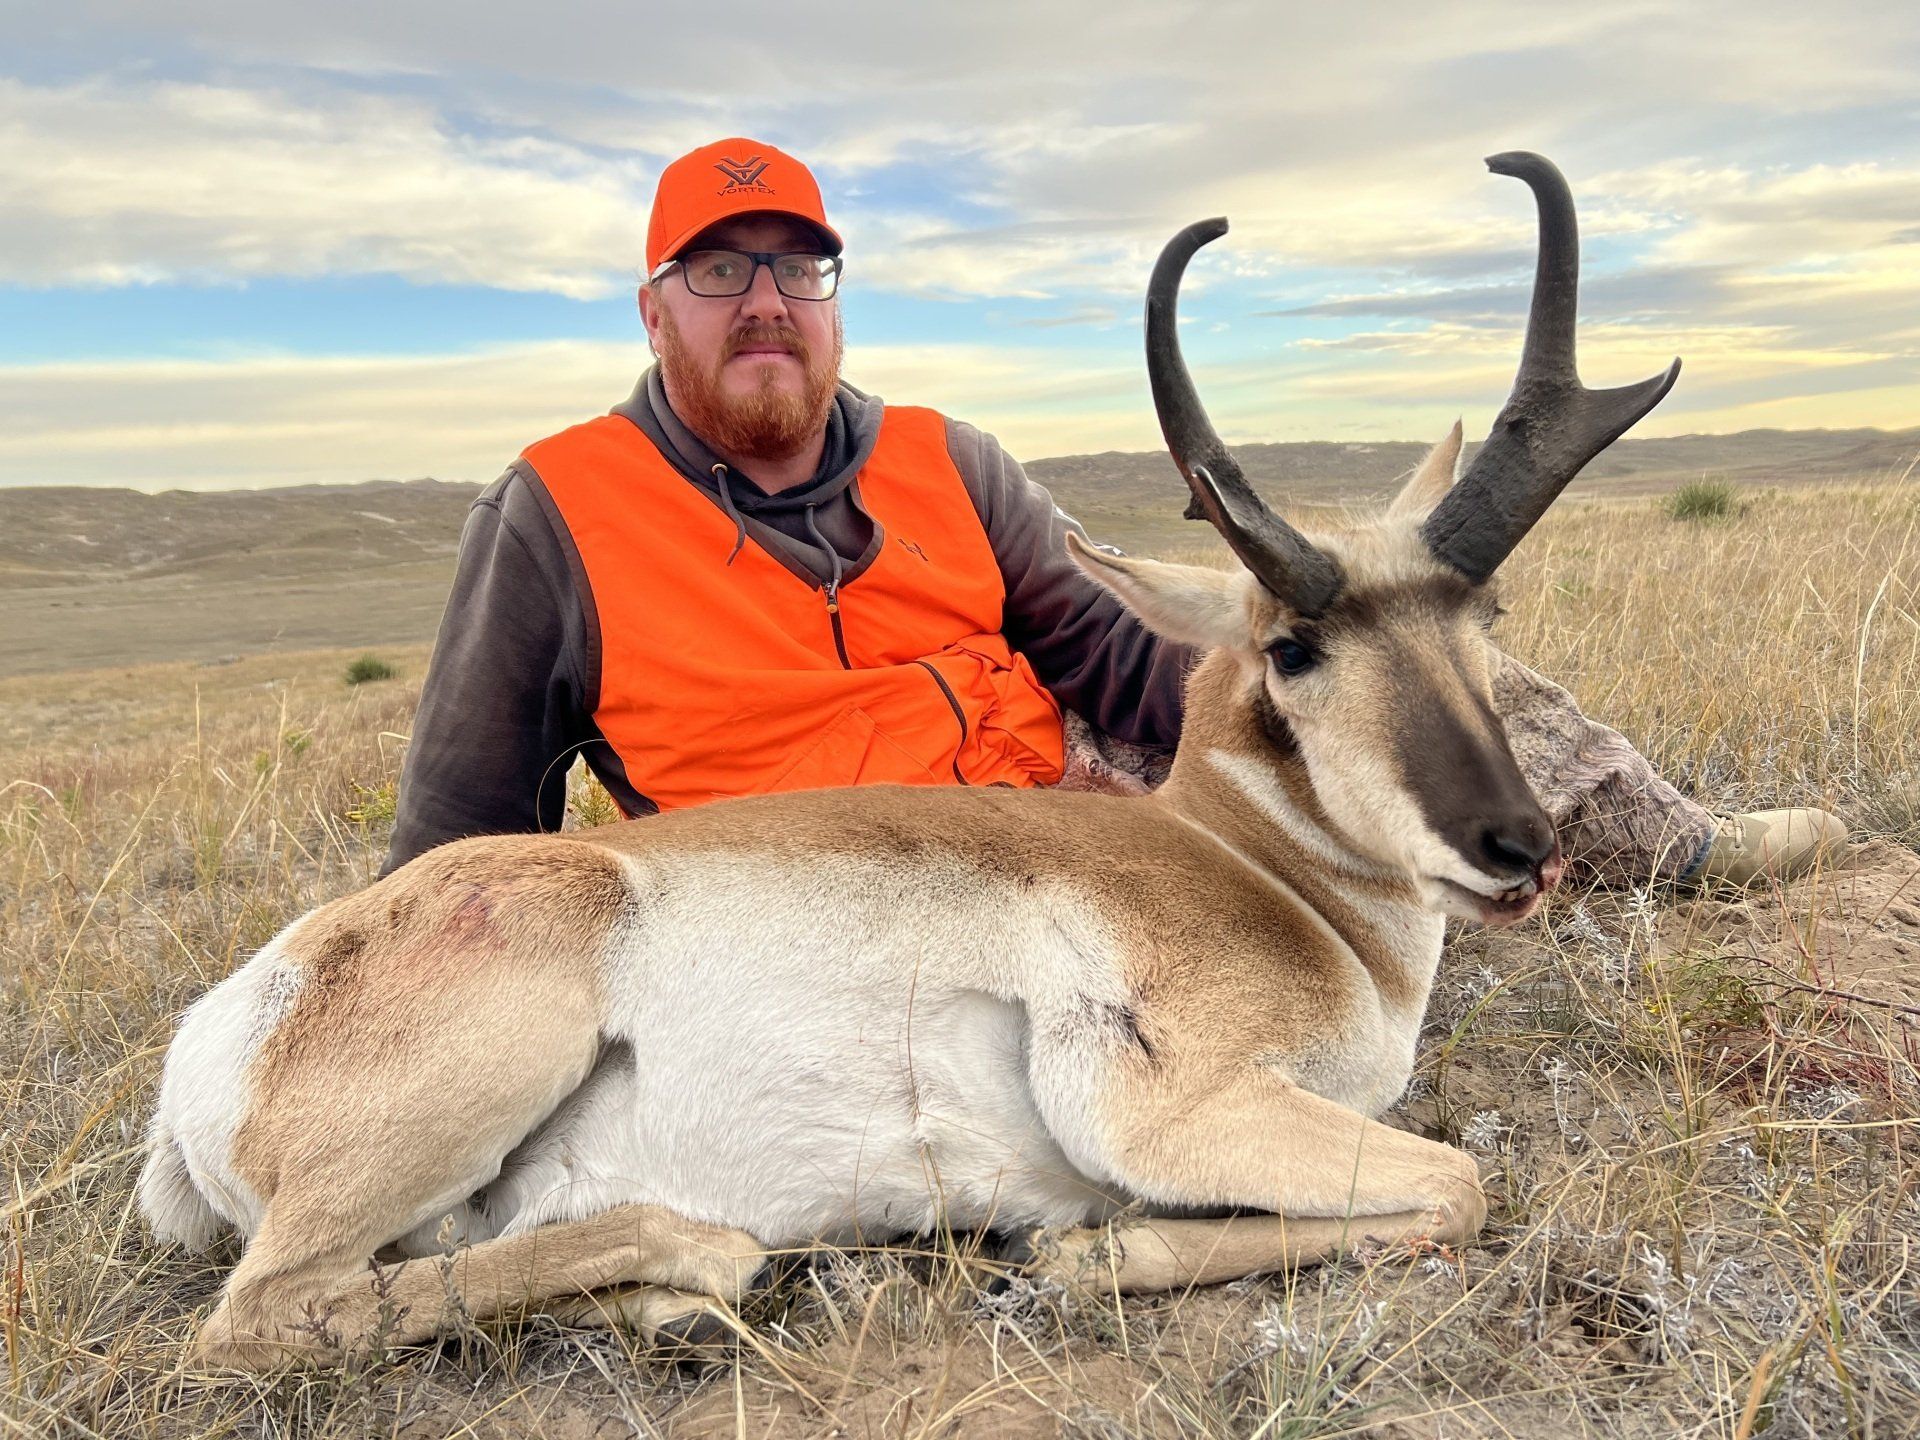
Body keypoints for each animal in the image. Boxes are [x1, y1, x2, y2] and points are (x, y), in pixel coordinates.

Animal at [138, 153, 1678, 1369]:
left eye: (1484, 615)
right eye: (1294, 648)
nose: (1519, 847)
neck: (1246, 868)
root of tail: (235, 1021)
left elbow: (1437, 1190)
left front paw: (1084, 1255)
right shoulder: (1172, 1107)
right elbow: (1460, 1183)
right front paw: (1087, 1256)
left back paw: (671, 1303)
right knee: (269, 1313)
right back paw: (700, 1261)